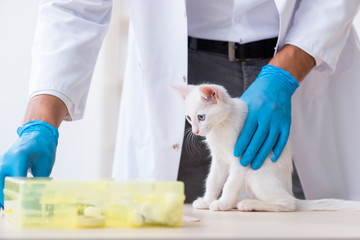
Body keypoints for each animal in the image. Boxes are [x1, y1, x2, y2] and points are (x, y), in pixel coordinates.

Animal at [172, 83, 360, 211]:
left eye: (201, 117)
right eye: (189, 118)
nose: (195, 131)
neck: (220, 127)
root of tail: (290, 191)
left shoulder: (242, 158)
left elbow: (230, 184)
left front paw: (222, 203)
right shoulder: (219, 160)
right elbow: (213, 180)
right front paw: (207, 201)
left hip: (254, 174)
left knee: (288, 204)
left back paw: (248, 204)